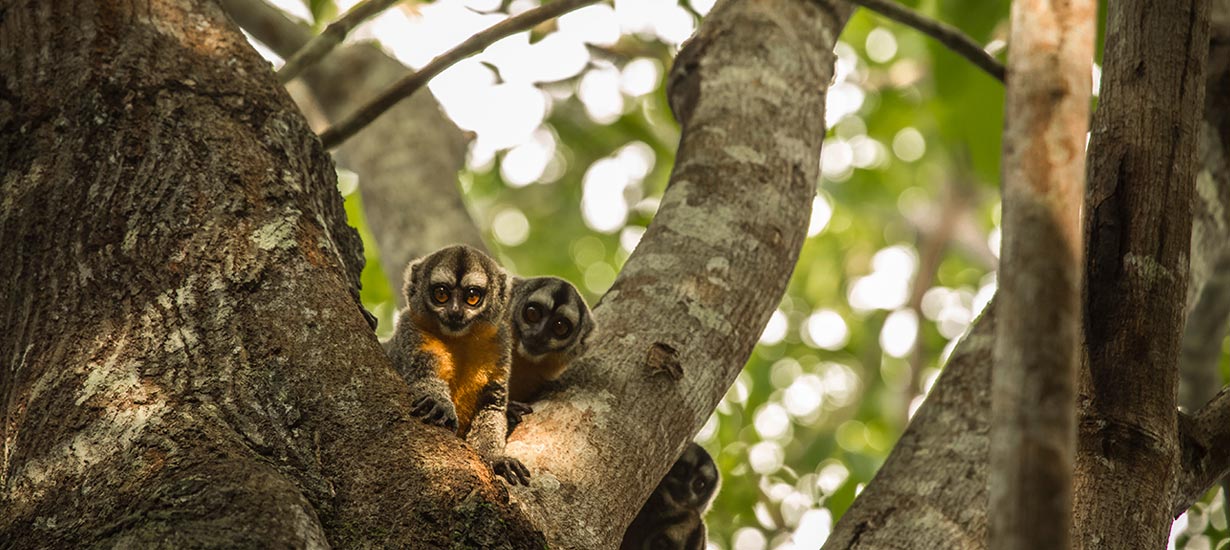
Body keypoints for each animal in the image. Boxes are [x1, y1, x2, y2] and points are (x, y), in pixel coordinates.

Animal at [386, 246, 531, 487]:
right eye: (441, 294)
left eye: (472, 296)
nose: (455, 312)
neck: (460, 339)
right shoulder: (411, 329)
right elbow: (423, 375)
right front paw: (438, 403)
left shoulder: (500, 342)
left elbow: (492, 404)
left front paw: (496, 459)